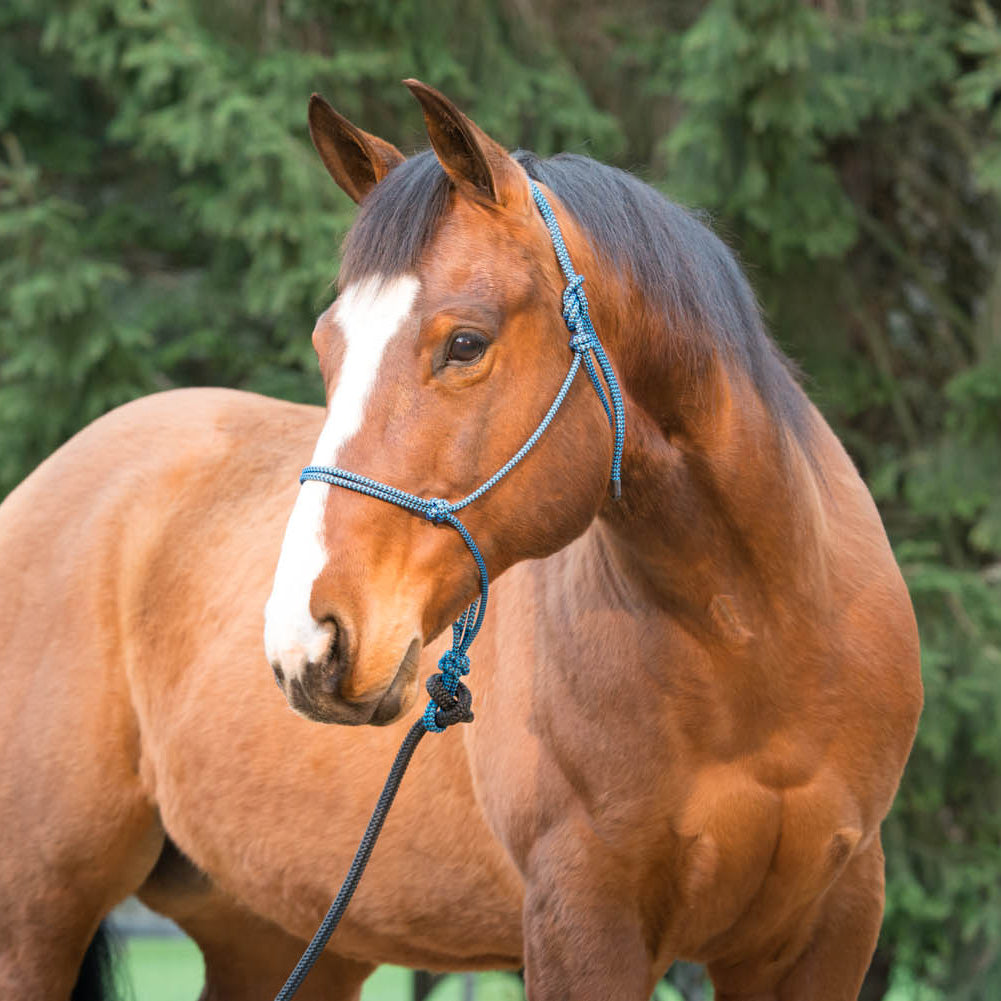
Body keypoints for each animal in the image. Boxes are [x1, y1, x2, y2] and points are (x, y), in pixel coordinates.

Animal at [0, 80, 920, 1001]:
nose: (307, 641)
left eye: (465, 342)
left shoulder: (825, 933)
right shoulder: (581, 922)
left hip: (271, 935)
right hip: (37, 919)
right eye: (327, 347)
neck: (752, 643)